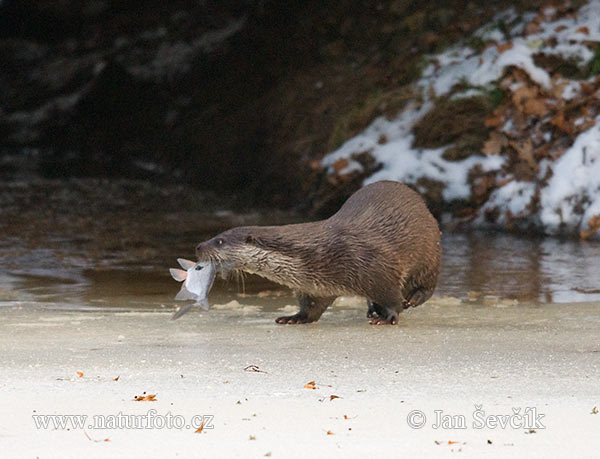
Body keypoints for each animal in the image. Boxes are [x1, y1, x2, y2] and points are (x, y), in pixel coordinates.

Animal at [196, 181, 440, 326]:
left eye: (219, 240)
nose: (198, 246)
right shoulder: (314, 288)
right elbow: (311, 309)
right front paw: (294, 317)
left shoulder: (378, 270)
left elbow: (392, 299)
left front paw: (389, 317)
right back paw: (372, 309)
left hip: (430, 251)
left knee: (427, 284)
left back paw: (413, 298)